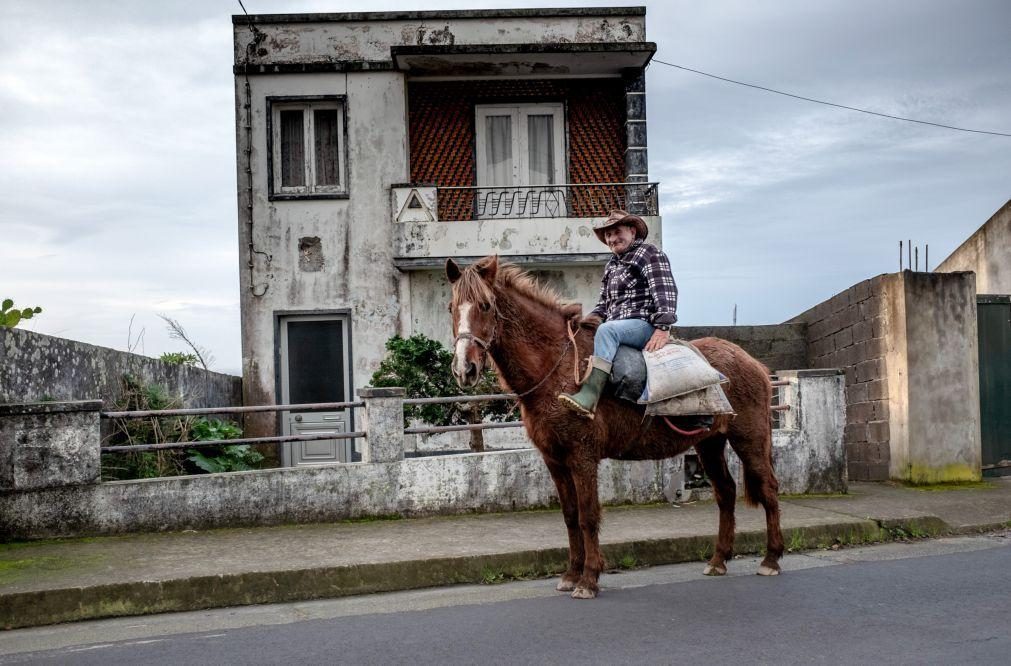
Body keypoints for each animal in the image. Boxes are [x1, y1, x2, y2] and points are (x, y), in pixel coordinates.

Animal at [446, 255, 784, 598]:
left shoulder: (582, 457)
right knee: (726, 492)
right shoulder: (554, 460)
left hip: (749, 439)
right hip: (709, 443)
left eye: (485, 305)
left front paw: (588, 579)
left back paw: (771, 558)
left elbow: (588, 516)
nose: (464, 368)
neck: (558, 367)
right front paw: (572, 573)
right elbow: (570, 516)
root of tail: (753, 363)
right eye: (451, 307)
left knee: (768, 488)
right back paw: (718, 560)